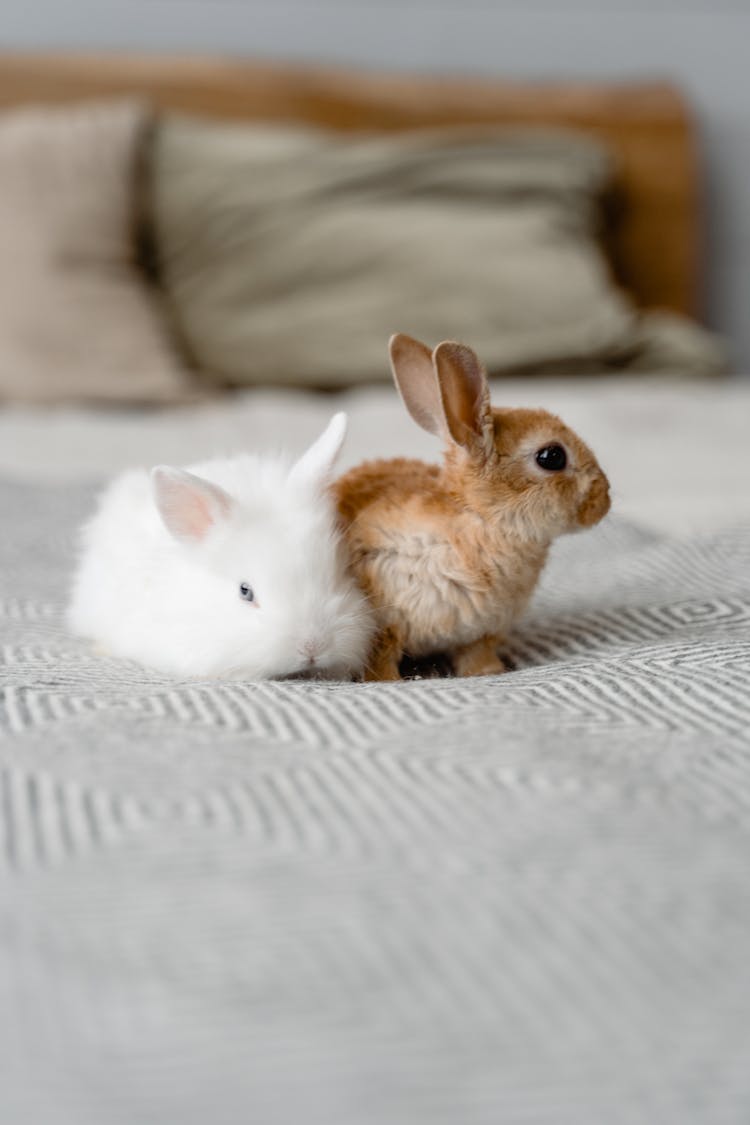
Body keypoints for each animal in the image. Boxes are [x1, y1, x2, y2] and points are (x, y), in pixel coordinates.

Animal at [335, 333, 611, 679]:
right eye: (552, 457)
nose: (604, 500)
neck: (479, 517)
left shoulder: (479, 633)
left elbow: (474, 654)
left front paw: (488, 672)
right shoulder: (384, 623)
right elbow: (380, 658)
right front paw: (388, 681)